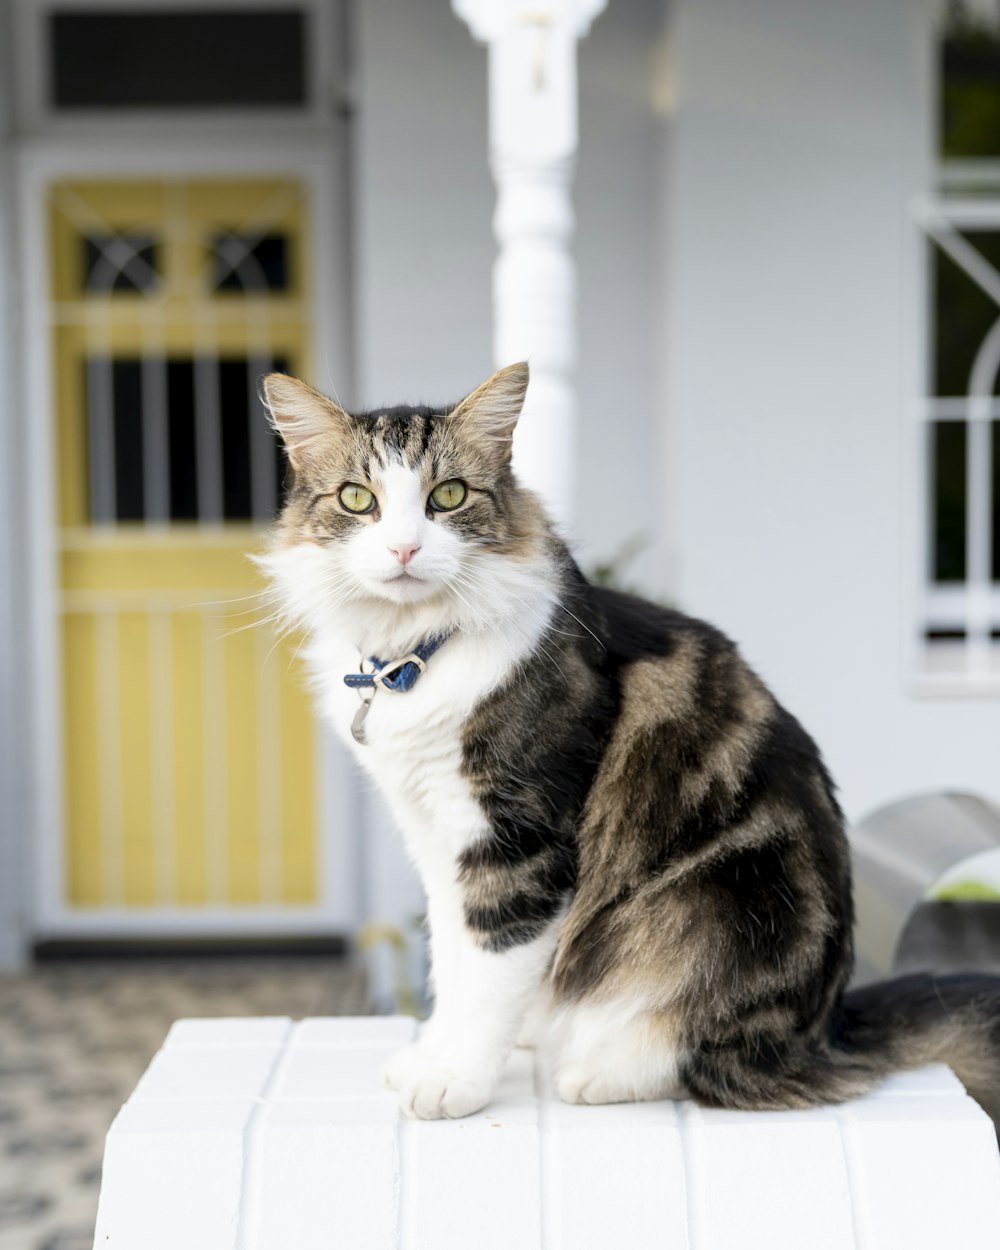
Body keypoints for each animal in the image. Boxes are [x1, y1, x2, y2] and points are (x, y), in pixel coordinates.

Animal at [260, 360, 1000, 1125]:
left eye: (448, 496)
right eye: (358, 500)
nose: (404, 549)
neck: (410, 657)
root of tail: (829, 1028)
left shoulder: (518, 843)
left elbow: (488, 974)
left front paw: (455, 1079)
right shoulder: (433, 835)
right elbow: (452, 963)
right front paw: (431, 1054)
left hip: (715, 911)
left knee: (694, 1056)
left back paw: (597, 1071)